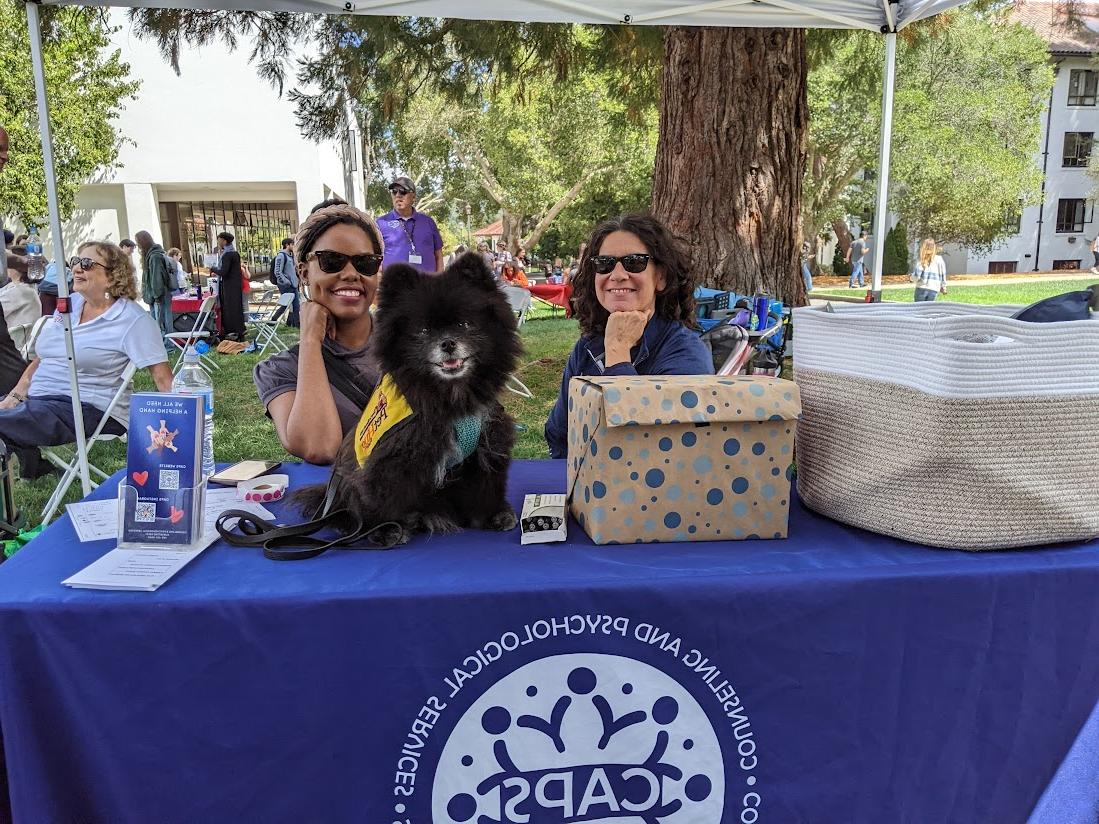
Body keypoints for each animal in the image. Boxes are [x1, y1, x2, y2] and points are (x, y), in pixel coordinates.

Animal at [296, 251, 523, 549]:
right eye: (424, 331)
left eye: (464, 324)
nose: (447, 343)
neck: (449, 399)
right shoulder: (390, 456)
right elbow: (381, 495)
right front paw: (385, 529)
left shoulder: (487, 441)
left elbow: (488, 485)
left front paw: (492, 515)